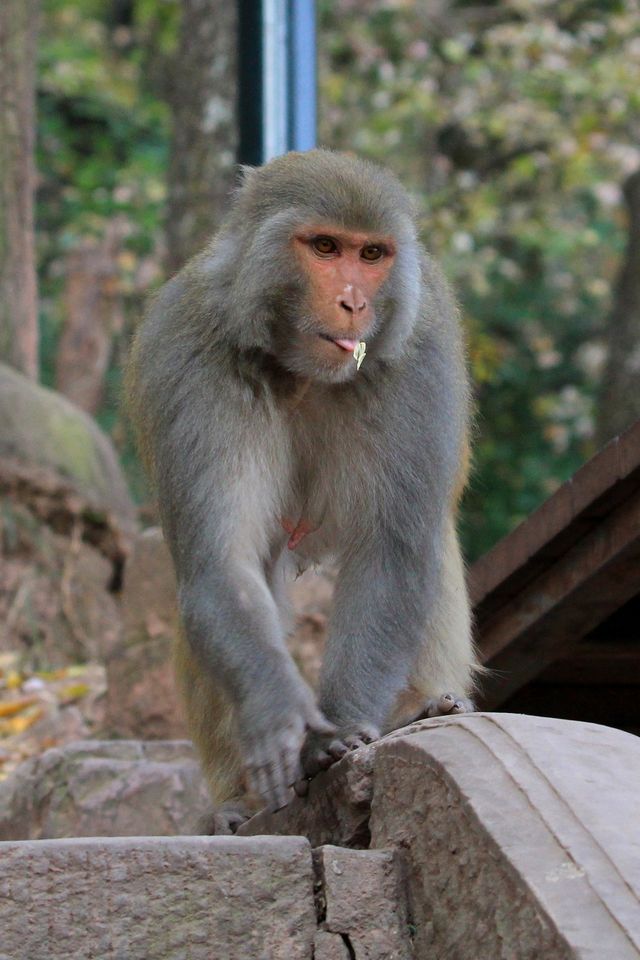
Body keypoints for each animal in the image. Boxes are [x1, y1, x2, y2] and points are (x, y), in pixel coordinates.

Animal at [127, 150, 476, 832]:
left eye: (372, 254)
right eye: (324, 247)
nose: (353, 302)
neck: (303, 370)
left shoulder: (417, 358)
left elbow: (393, 552)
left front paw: (337, 735)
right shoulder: (190, 357)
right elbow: (221, 568)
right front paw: (279, 712)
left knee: (430, 539)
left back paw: (422, 706)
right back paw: (234, 800)